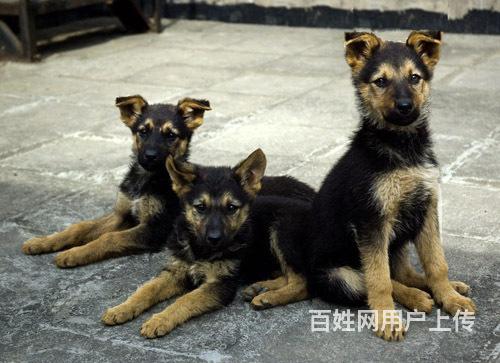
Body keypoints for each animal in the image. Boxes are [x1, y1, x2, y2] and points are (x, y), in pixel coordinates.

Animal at [21, 95, 209, 268]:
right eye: (143, 131)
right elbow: (80, 227)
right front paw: (41, 242)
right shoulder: (121, 215)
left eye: (171, 135)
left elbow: (108, 238)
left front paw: (73, 254)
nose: (150, 156)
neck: (146, 178)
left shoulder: (156, 228)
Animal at [100, 150, 316, 338]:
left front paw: (160, 320)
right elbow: (146, 289)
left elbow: (185, 299)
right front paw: (122, 308)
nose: (214, 238)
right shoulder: (175, 271)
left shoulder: (221, 283)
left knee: (302, 283)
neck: (199, 249)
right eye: (200, 207)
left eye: (231, 208)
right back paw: (261, 288)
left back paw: (268, 298)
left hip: (282, 229)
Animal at [308, 30, 476, 342]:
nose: (405, 107)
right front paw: (387, 320)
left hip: (398, 239)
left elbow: (437, 263)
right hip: (338, 275)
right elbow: (379, 279)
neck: (401, 147)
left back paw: (441, 288)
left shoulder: (427, 208)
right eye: (381, 81)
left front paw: (450, 298)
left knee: (404, 273)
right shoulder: (371, 220)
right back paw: (416, 297)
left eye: (414, 78)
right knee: (369, 279)